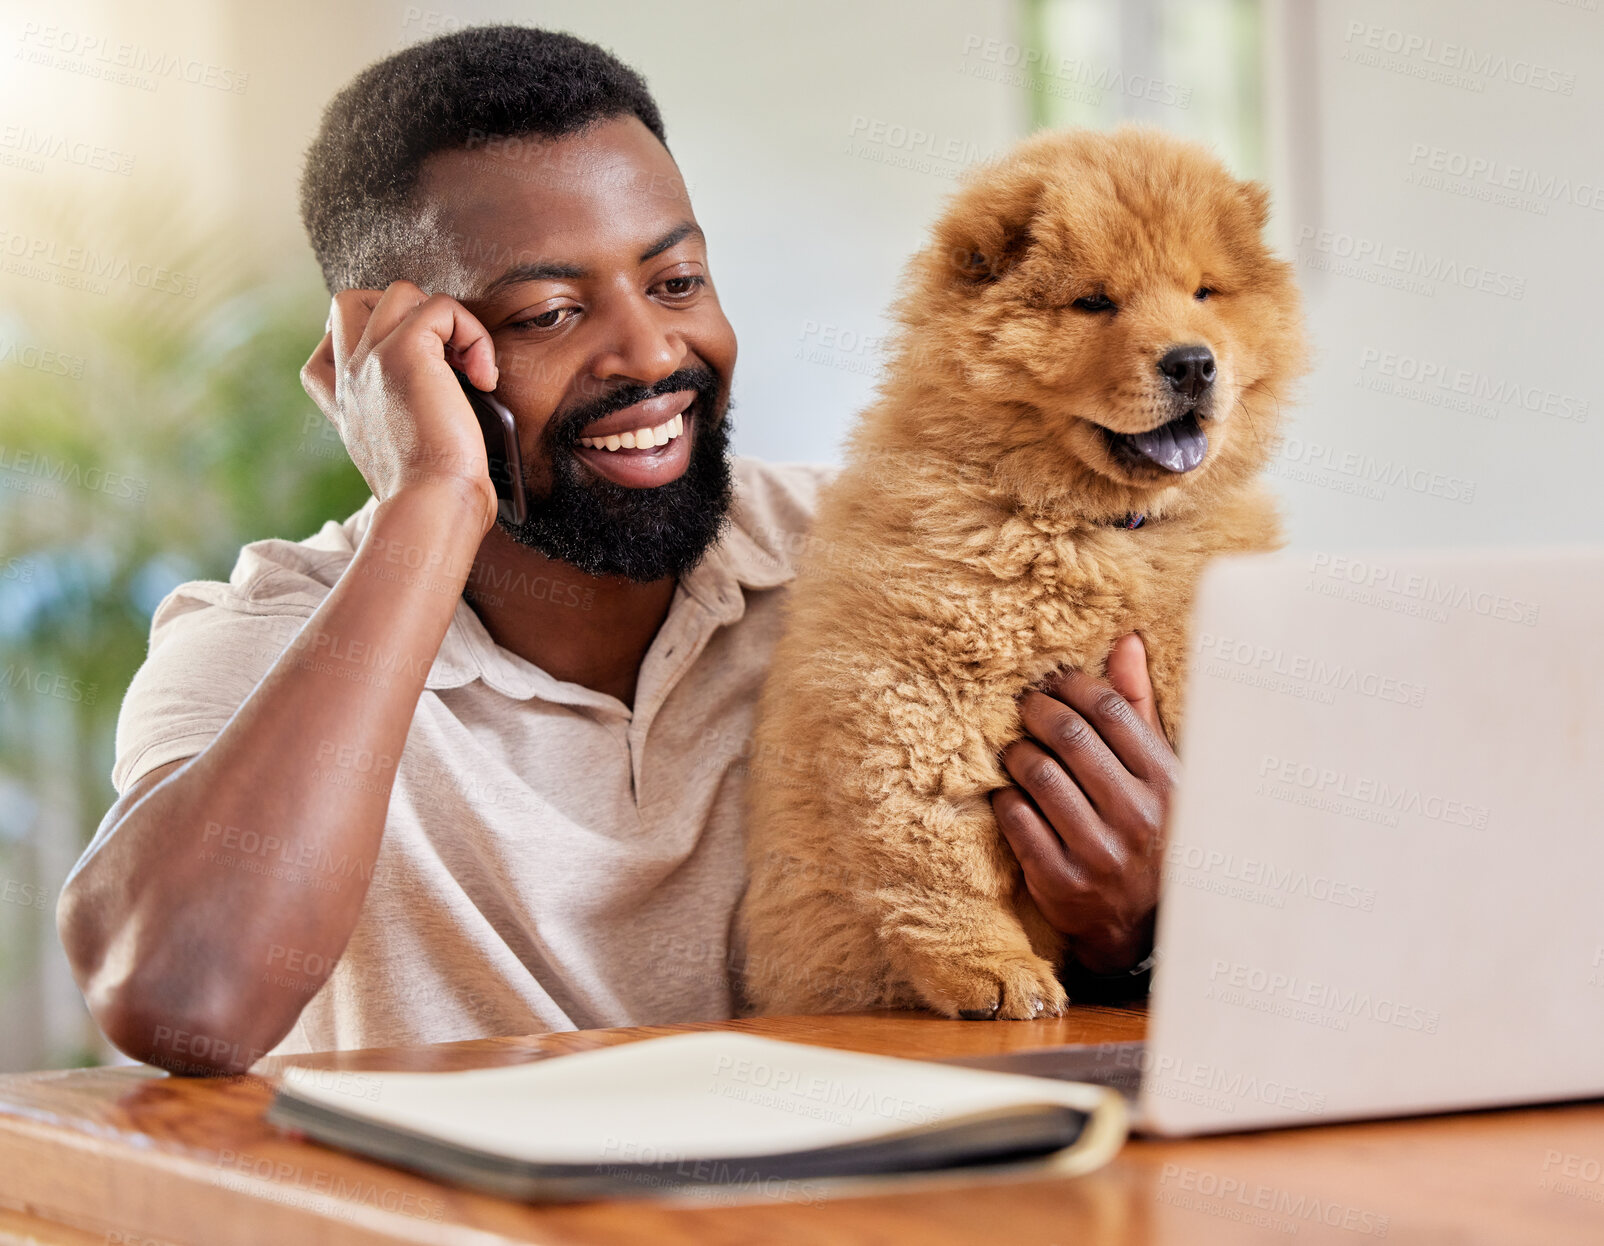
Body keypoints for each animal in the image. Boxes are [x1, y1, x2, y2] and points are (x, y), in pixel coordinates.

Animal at [734, 126, 1302, 1019]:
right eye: (1096, 303)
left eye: (1205, 292)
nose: (1193, 363)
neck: (1107, 531)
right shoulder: (920, 693)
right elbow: (937, 849)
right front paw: (996, 973)